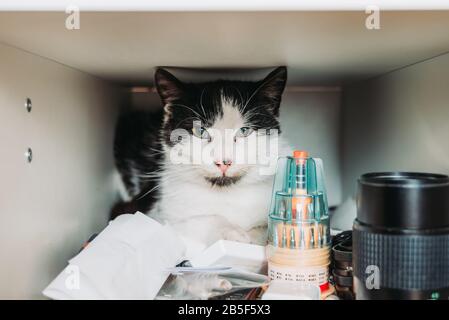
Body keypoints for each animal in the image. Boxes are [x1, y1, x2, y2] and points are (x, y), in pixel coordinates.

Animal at [114, 67, 288, 255]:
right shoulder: (159, 212)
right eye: (200, 131)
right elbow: (198, 221)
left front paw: (257, 236)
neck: (227, 194)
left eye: (244, 131)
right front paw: (232, 233)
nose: (223, 162)